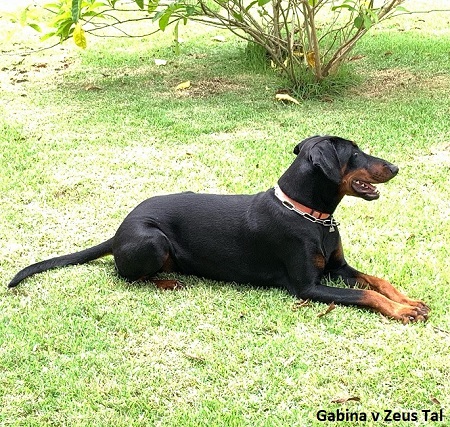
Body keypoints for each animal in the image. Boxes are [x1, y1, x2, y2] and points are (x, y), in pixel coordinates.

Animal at [8, 135, 429, 323]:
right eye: (353, 153)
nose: (395, 167)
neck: (309, 215)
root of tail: (118, 231)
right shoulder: (307, 287)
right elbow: (366, 295)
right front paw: (402, 311)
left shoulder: (337, 267)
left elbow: (377, 280)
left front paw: (408, 300)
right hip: (152, 239)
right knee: (127, 276)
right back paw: (168, 282)